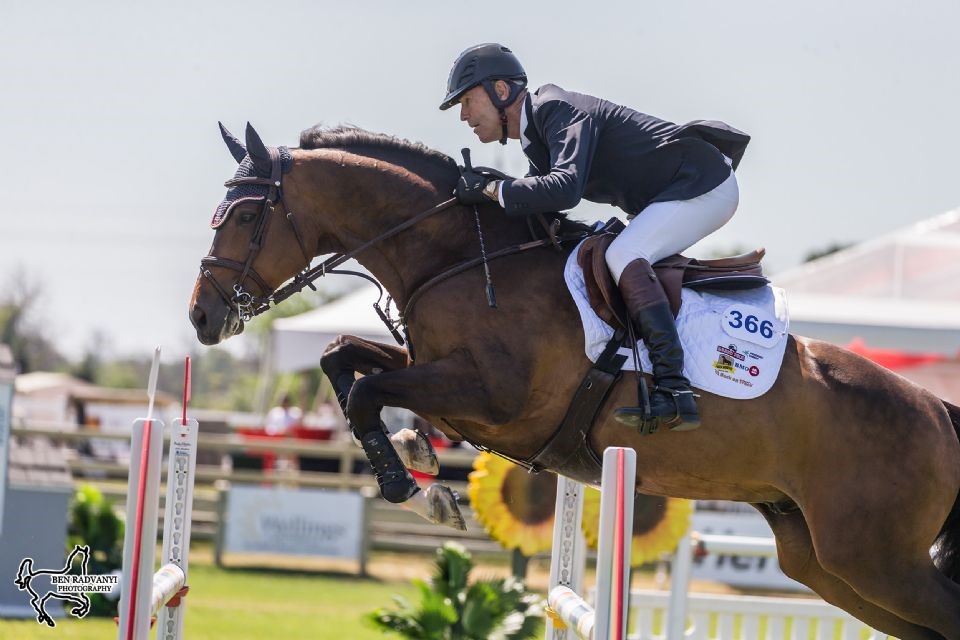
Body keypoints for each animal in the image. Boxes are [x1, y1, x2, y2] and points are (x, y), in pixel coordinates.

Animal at [189, 122, 960, 636]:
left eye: (248, 214)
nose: (202, 317)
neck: (457, 254)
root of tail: (938, 414)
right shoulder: (439, 373)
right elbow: (343, 361)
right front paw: (420, 467)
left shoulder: (492, 399)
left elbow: (369, 391)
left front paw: (417, 487)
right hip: (823, 559)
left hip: (874, 558)